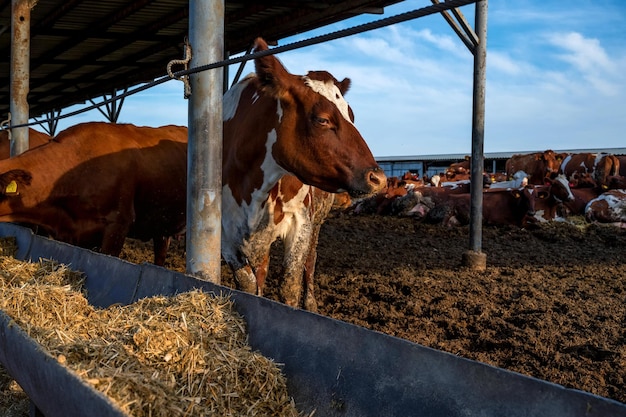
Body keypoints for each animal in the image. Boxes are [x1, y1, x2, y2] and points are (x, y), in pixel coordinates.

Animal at [219, 38, 386, 306]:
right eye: (322, 119)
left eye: (352, 115)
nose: (378, 178)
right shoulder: (224, 231)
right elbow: (247, 282)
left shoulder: (301, 220)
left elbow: (290, 285)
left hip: (317, 220)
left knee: (310, 260)